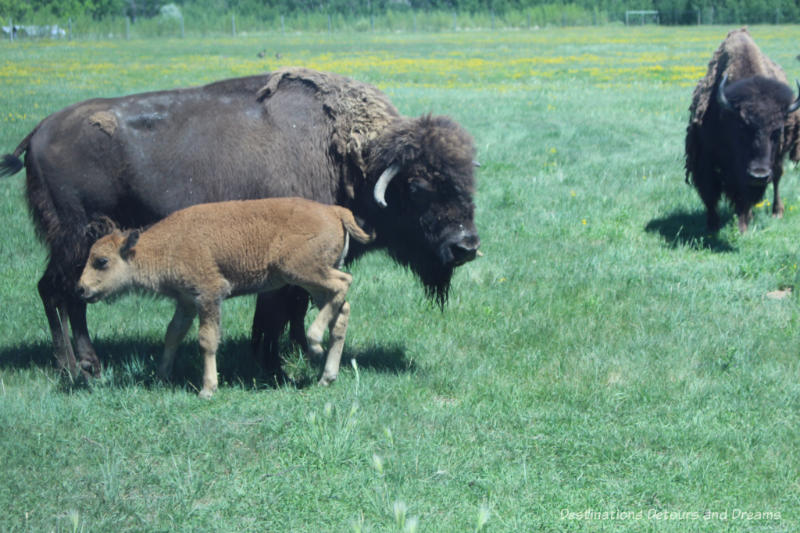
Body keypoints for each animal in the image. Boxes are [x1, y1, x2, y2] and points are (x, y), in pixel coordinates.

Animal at [78, 197, 372, 396]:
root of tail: (333, 210)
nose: (81, 289)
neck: (168, 243)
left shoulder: (209, 295)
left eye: (101, 261)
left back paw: (315, 341)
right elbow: (172, 334)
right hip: (313, 283)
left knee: (343, 283)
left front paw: (207, 388)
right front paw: (162, 376)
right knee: (340, 311)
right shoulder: (186, 302)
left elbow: (206, 340)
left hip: (304, 271)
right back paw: (327, 376)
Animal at [680, 27, 800, 231]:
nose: (759, 175)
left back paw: (776, 212)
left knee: (777, 178)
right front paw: (712, 226)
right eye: (742, 128)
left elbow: (743, 196)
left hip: (777, 160)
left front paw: (743, 226)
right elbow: (710, 192)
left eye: (777, 131)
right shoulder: (705, 159)